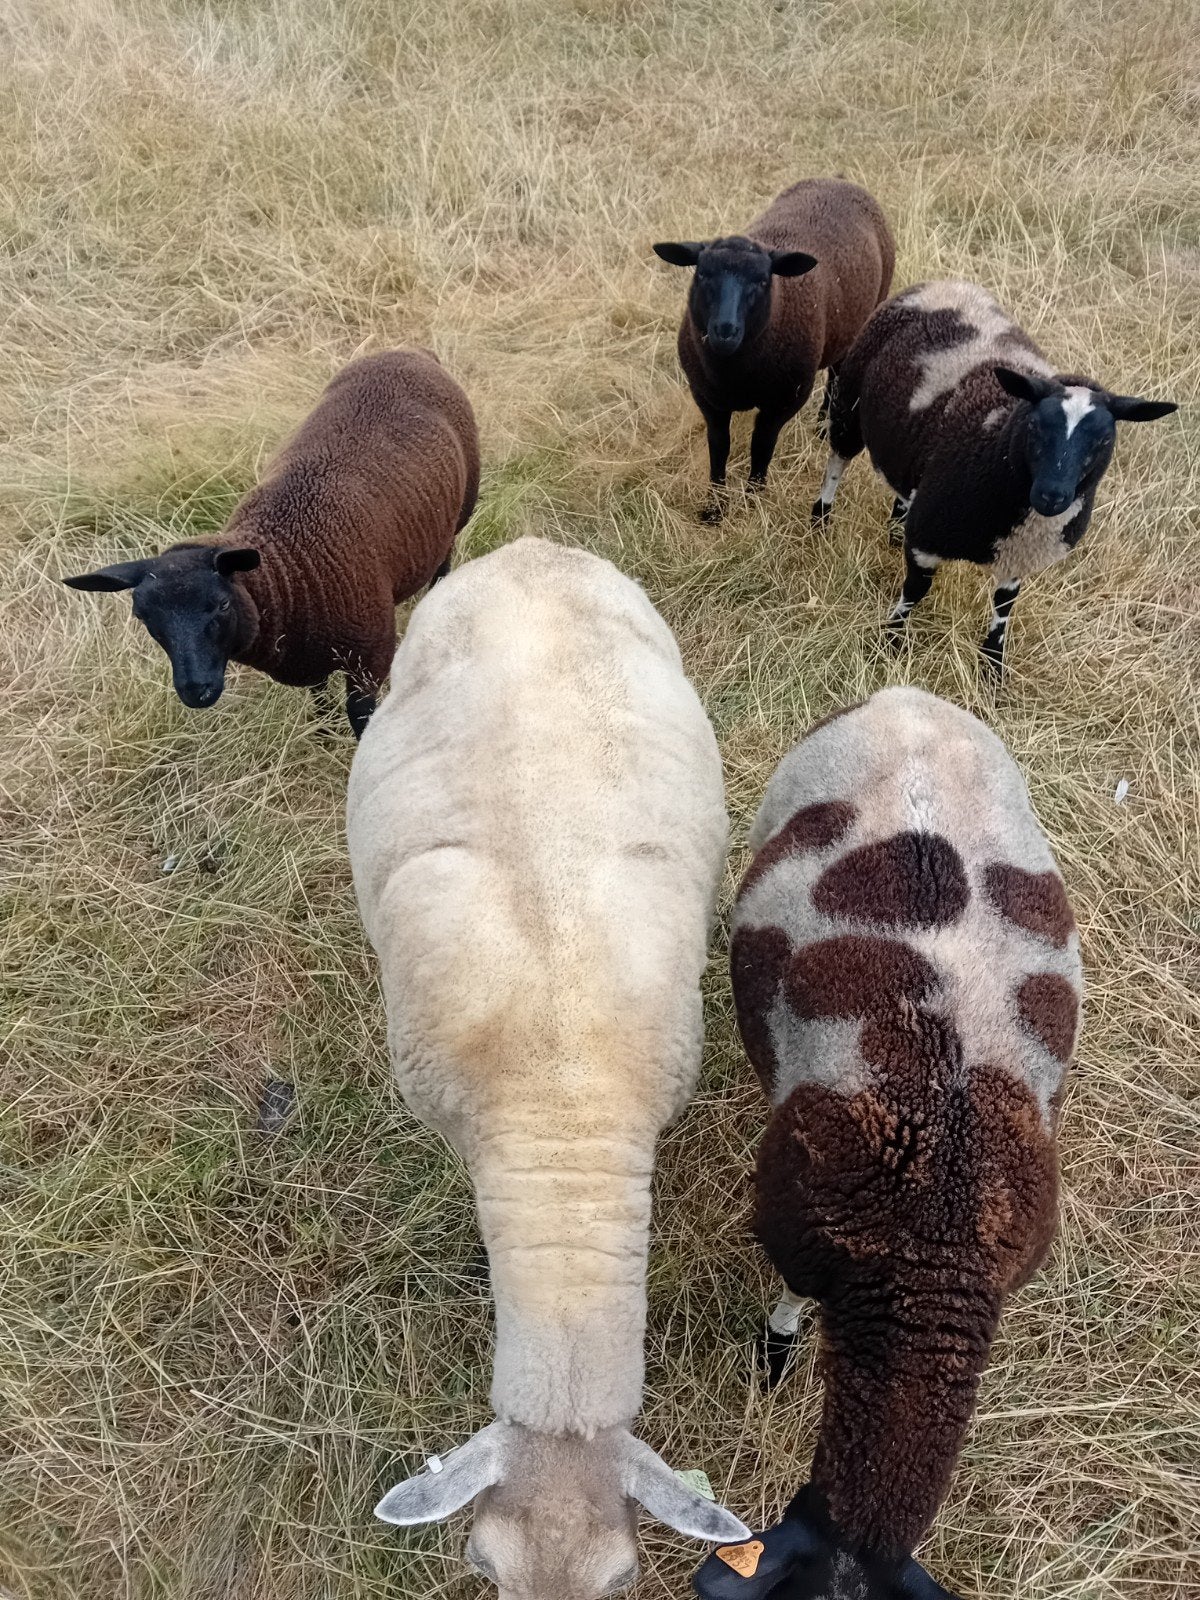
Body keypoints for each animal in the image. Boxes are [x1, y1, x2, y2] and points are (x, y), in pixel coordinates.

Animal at [63, 348, 480, 737]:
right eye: (143, 617)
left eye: (222, 604)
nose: (196, 691)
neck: (285, 568)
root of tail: (408, 352)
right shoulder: (309, 654)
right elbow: (319, 696)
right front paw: (322, 732)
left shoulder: (369, 656)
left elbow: (361, 716)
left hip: (461, 507)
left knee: (444, 559)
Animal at [653, 178, 895, 523]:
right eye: (702, 274)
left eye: (763, 281)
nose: (725, 331)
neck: (733, 373)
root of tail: (838, 180)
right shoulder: (708, 398)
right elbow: (719, 447)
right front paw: (714, 508)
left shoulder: (784, 401)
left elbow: (762, 447)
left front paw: (753, 500)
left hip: (863, 319)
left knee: (836, 374)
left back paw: (822, 426)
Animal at [812, 280, 1177, 674]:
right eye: (1034, 425)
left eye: (1104, 440)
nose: (1052, 496)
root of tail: (946, 283)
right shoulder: (928, 536)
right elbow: (915, 590)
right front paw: (891, 639)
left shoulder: (1018, 556)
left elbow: (1004, 606)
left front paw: (992, 666)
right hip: (850, 399)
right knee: (837, 461)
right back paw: (821, 519)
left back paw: (894, 531)